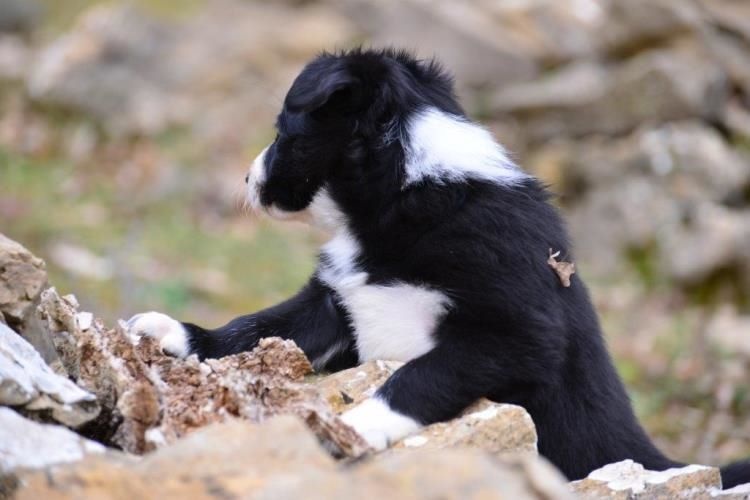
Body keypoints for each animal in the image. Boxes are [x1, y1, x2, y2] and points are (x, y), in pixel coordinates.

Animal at [129, 47, 750, 488]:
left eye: (285, 133)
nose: (247, 180)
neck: (408, 199)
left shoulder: (515, 332)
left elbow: (420, 375)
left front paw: (358, 425)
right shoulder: (336, 301)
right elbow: (260, 326)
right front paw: (174, 334)